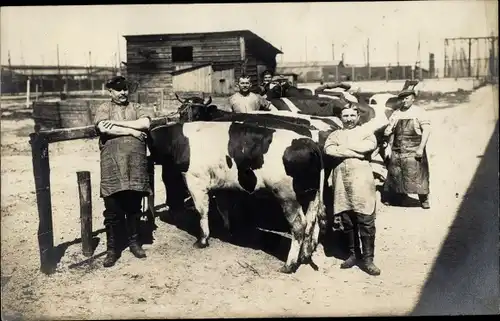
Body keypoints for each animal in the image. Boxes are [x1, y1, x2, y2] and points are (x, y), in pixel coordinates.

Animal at [147, 120, 328, 272]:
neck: (180, 141)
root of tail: (309, 142)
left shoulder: (196, 181)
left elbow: (202, 211)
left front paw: (202, 240)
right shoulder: (221, 185)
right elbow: (223, 208)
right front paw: (228, 231)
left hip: (287, 196)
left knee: (299, 226)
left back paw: (289, 265)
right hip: (312, 194)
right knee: (311, 223)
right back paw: (304, 256)